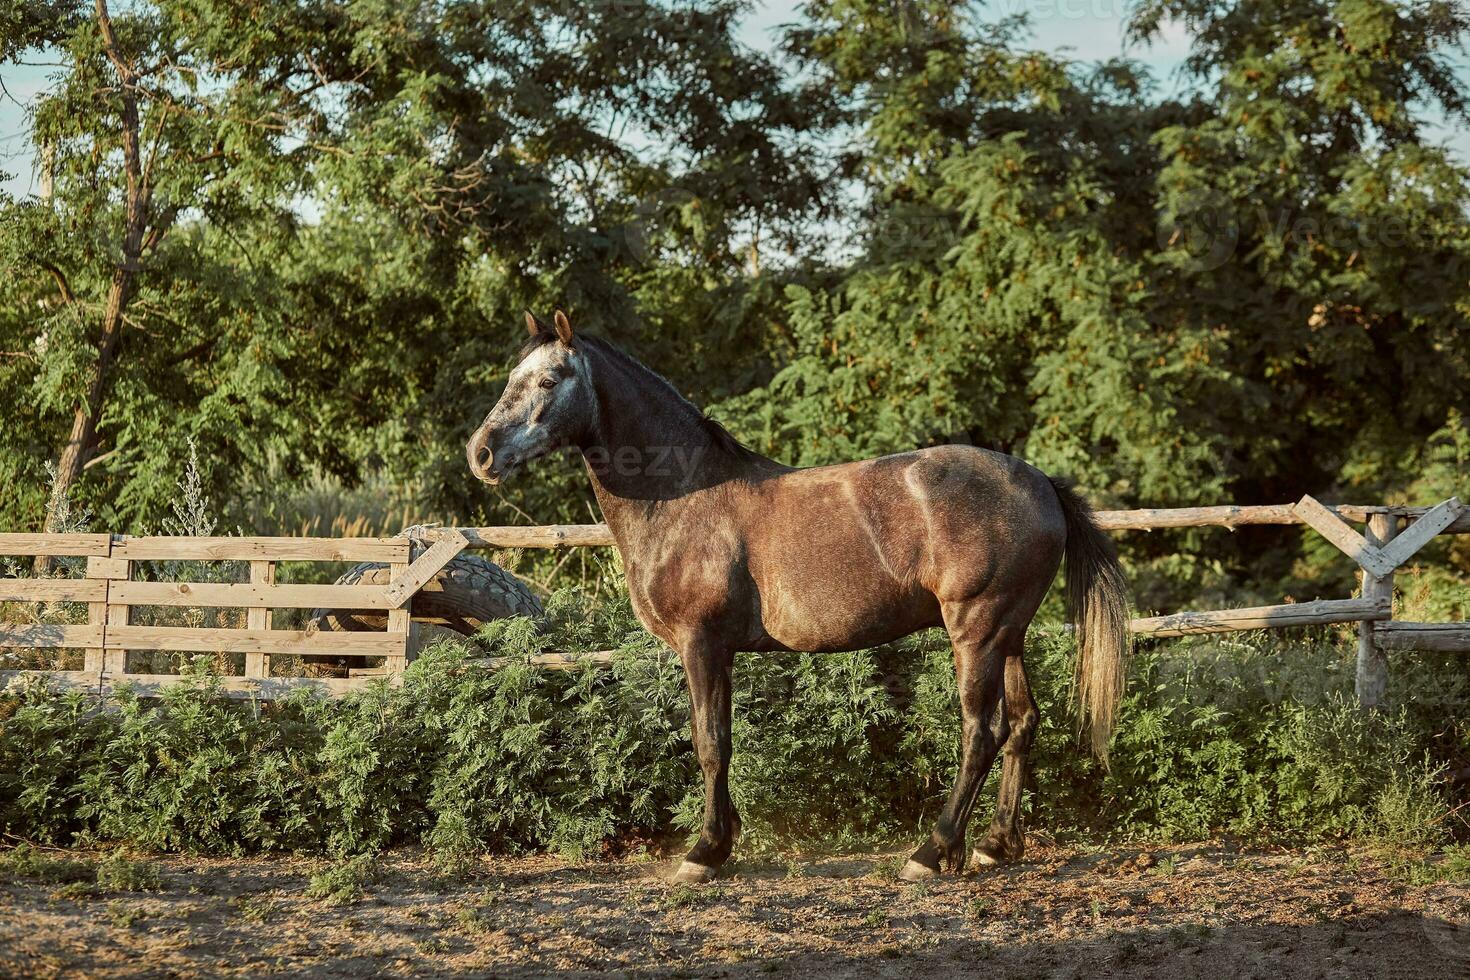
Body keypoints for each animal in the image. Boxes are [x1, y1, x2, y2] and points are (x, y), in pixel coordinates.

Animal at [464, 310, 1128, 887]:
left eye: (549, 378)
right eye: (513, 376)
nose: (482, 453)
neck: (684, 496)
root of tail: (1041, 484)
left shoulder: (701, 643)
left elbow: (710, 742)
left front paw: (703, 852)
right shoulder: (720, 652)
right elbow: (720, 739)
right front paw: (725, 839)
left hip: (977, 631)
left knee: (981, 733)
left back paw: (932, 852)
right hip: (1009, 634)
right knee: (1022, 724)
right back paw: (995, 844)